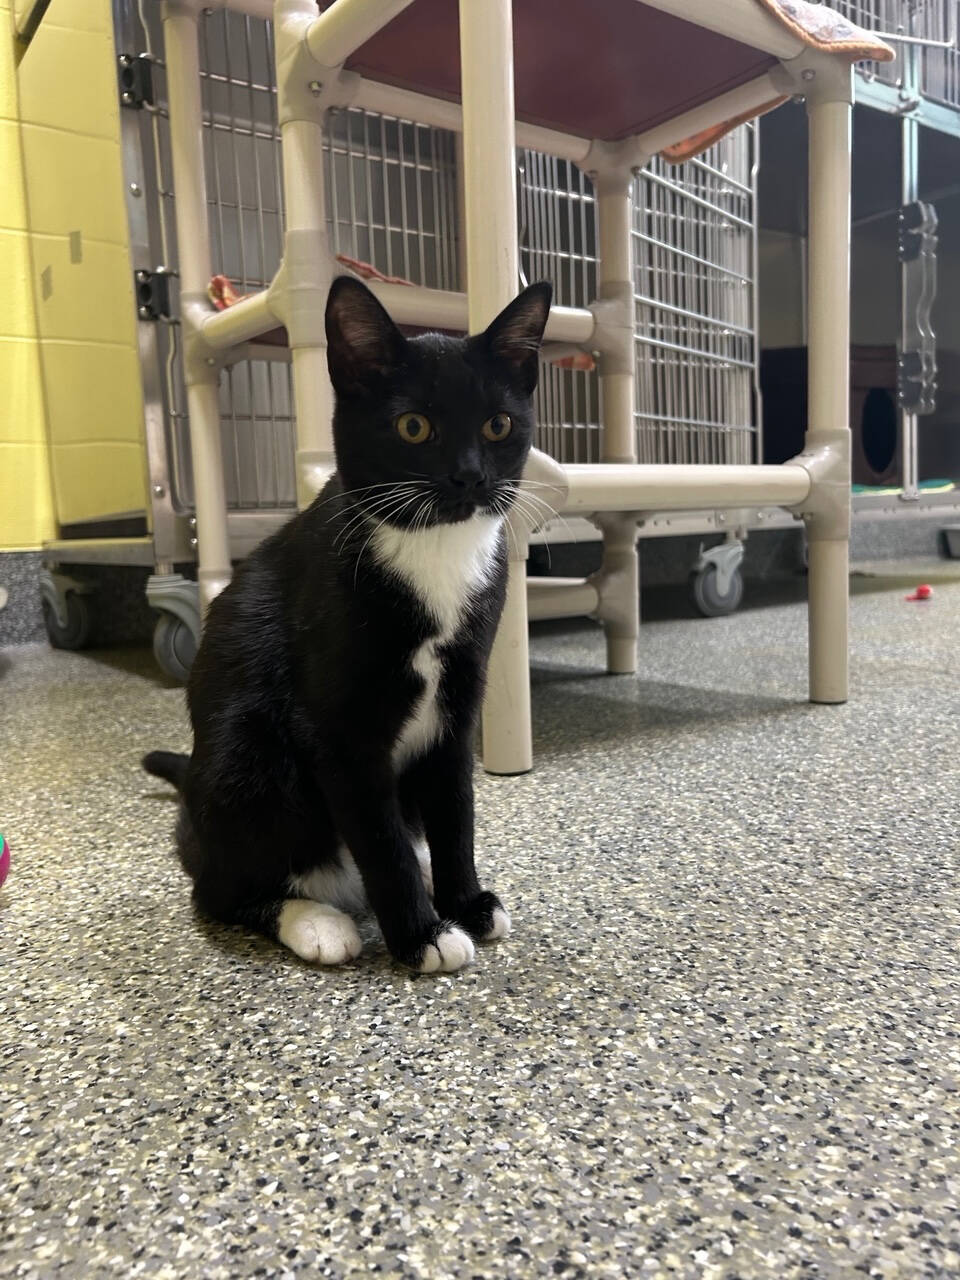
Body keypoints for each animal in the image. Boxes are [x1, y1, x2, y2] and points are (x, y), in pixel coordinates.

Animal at [140, 277, 547, 967]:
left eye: (499, 424)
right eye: (413, 426)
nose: (470, 476)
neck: (432, 549)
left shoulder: (461, 698)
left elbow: (455, 807)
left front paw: (463, 901)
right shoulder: (336, 728)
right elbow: (378, 837)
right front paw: (421, 935)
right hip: (244, 757)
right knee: (218, 888)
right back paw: (314, 919)